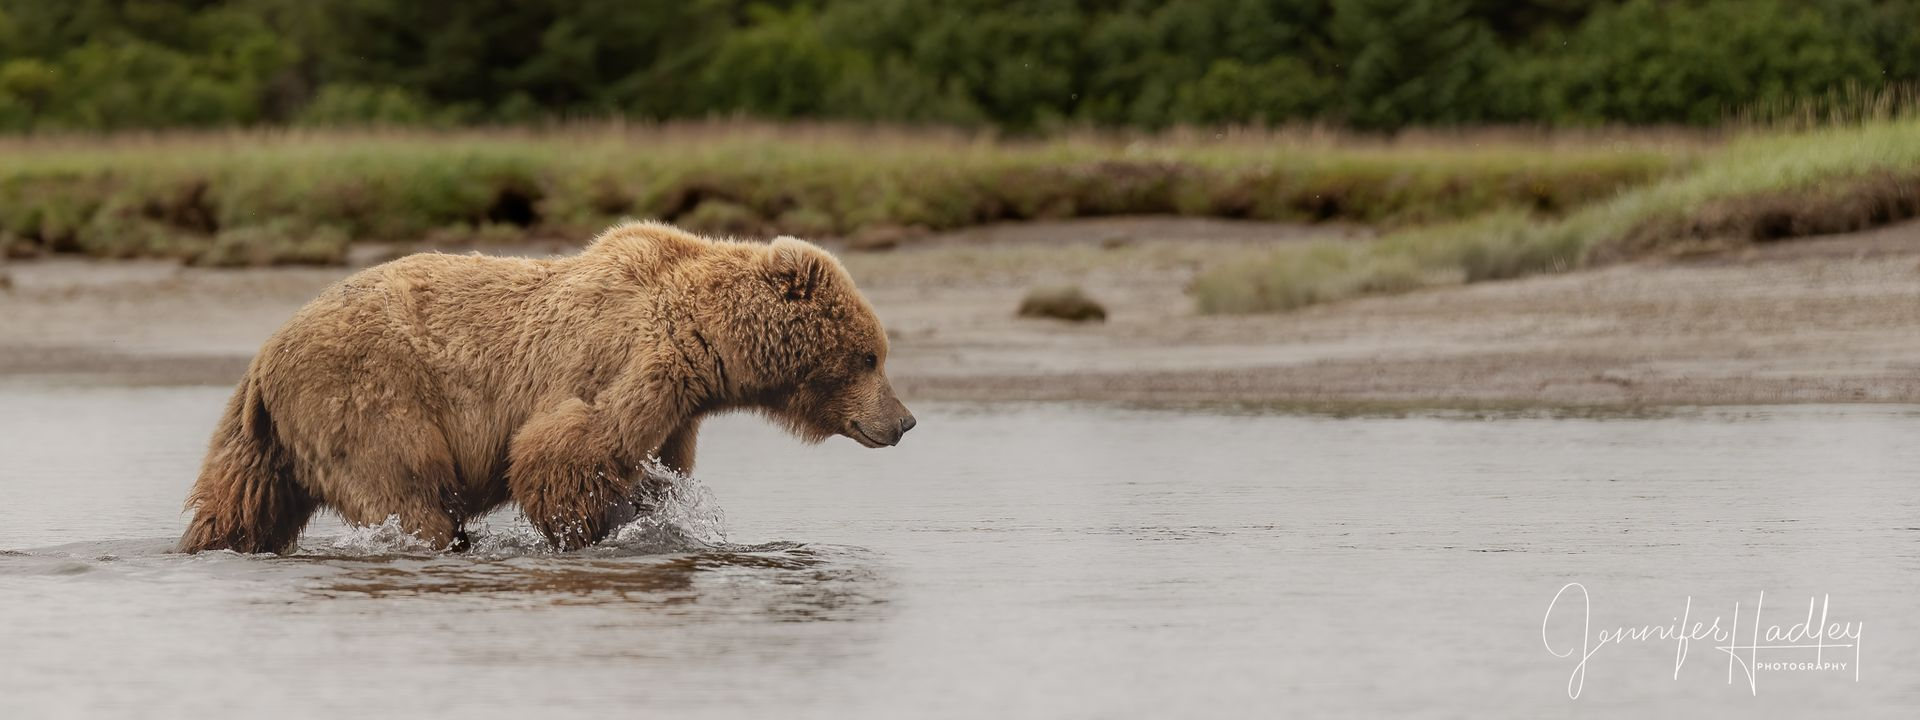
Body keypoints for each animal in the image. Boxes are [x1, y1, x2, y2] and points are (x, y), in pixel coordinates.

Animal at [176, 221, 915, 554]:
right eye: (871, 357)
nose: (904, 421)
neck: (708, 344)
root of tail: (265, 354)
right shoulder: (634, 363)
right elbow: (565, 452)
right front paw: (587, 531)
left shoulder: (678, 408)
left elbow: (656, 467)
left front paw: (655, 514)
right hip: (366, 398)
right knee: (410, 494)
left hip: (264, 435)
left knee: (238, 503)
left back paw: (208, 544)